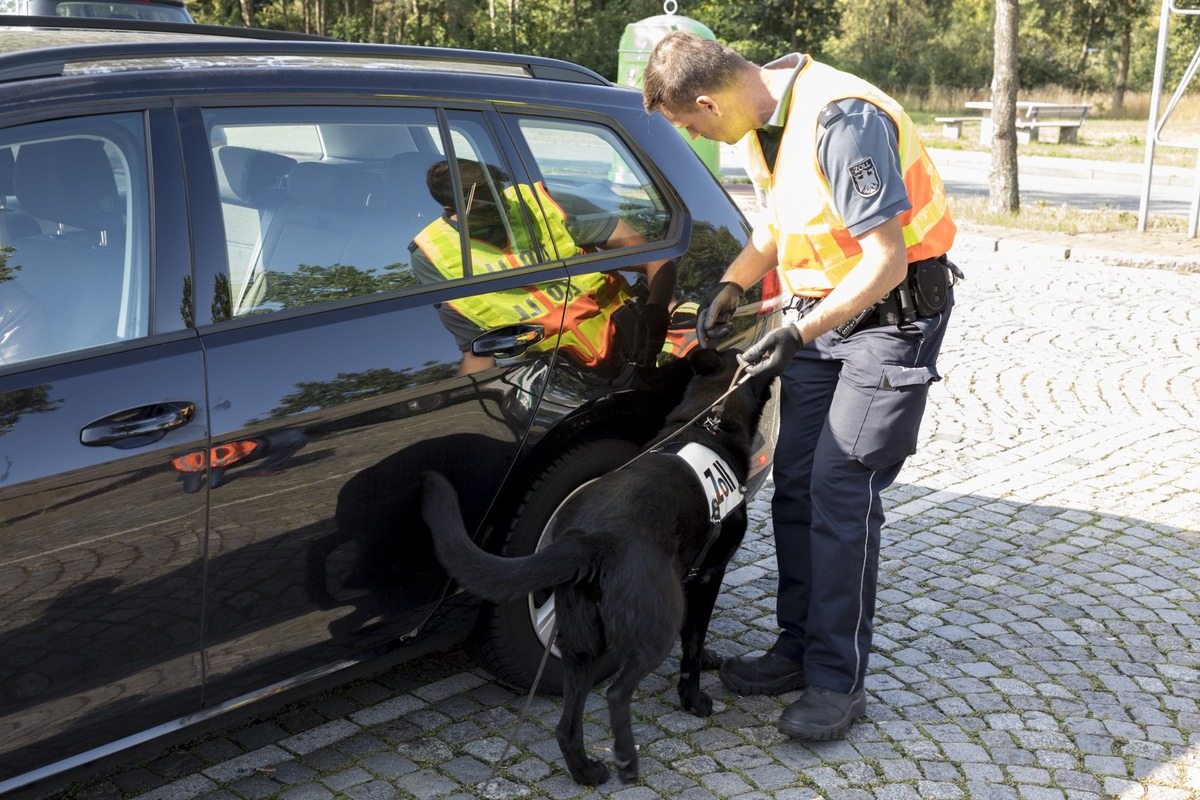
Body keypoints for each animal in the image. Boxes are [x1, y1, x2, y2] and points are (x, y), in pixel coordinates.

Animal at [422, 347, 772, 782]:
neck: (712, 421)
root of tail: (591, 539)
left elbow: (696, 637)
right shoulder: (708, 576)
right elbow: (692, 644)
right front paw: (694, 698)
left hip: (580, 644)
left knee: (566, 724)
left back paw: (586, 771)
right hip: (648, 628)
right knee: (616, 693)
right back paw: (626, 759)